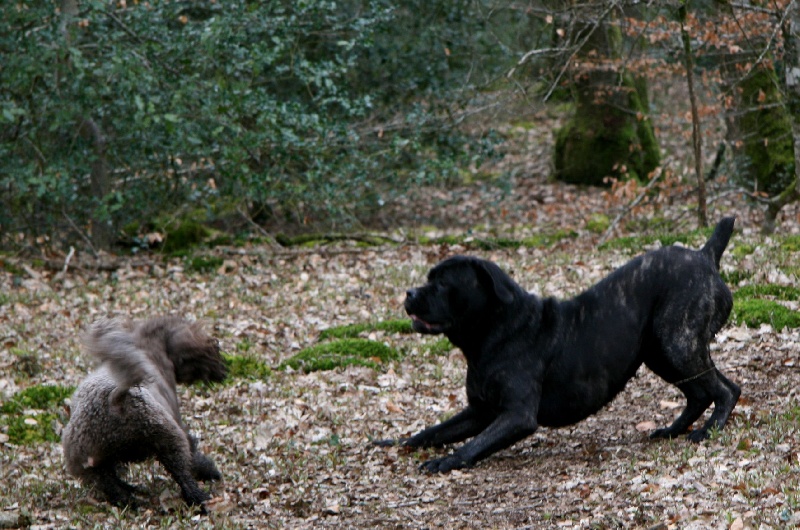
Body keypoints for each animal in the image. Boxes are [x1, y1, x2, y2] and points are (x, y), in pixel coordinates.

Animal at [60, 316, 225, 506]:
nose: (223, 371)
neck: (148, 350)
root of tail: (115, 400)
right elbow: (193, 452)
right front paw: (209, 470)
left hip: (91, 462)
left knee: (110, 484)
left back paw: (130, 498)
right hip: (169, 440)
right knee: (184, 477)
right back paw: (202, 499)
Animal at [378, 217, 740, 472]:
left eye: (442, 284)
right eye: (428, 278)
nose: (409, 293)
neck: (495, 332)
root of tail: (705, 256)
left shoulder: (516, 415)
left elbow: (473, 445)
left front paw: (447, 461)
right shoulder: (480, 411)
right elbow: (432, 432)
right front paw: (396, 440)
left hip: (677, 345)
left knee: (724, 390)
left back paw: (708, 431)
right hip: (661, 353)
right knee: (702, 392)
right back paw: (672, 429)